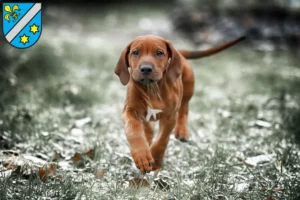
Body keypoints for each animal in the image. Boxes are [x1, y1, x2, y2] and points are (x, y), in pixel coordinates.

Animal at [113, 35, 245, 173]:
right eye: (135, 52)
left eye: (159, 53)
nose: (146, 68)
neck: (152, 88)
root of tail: (180, 54)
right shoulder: (130, 111)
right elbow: (134, 130)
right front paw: (142, 155)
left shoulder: (170, 116)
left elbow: (162, 139)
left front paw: (155, 158)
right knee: (147, 126)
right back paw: (148, 137)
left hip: (188, 88)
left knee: (184, 108)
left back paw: (182, 131)